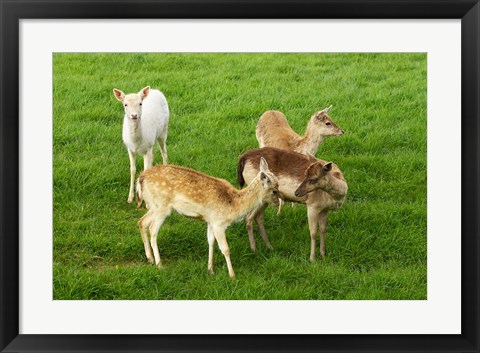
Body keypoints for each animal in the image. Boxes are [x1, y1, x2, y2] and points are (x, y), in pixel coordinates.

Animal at [135, 159, 278, 278]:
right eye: (274, 190)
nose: (277, 202)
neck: (233, 205)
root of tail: (141, 179)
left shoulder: (210, 221)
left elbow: (211, 241)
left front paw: (211, 270)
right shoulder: (219, 223)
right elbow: (225, 248)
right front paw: (232, 275)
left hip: (153, 206)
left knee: (142, 222)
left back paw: (150, 258)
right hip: (161, 206)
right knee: (152, 230)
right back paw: (159, 264)